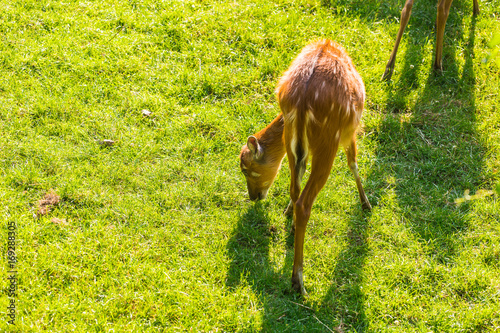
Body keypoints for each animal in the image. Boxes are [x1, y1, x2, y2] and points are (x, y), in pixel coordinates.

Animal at [238, 39, 372, 294]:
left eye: (246, 168)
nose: (252, 196)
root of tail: (301, 103)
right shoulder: (350, 132)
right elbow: (353, 162)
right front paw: (366, 204)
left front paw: (287, 218)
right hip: (329, 141)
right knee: (305, 203)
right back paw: (298, 281)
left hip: (292, 141)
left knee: (295, 189)